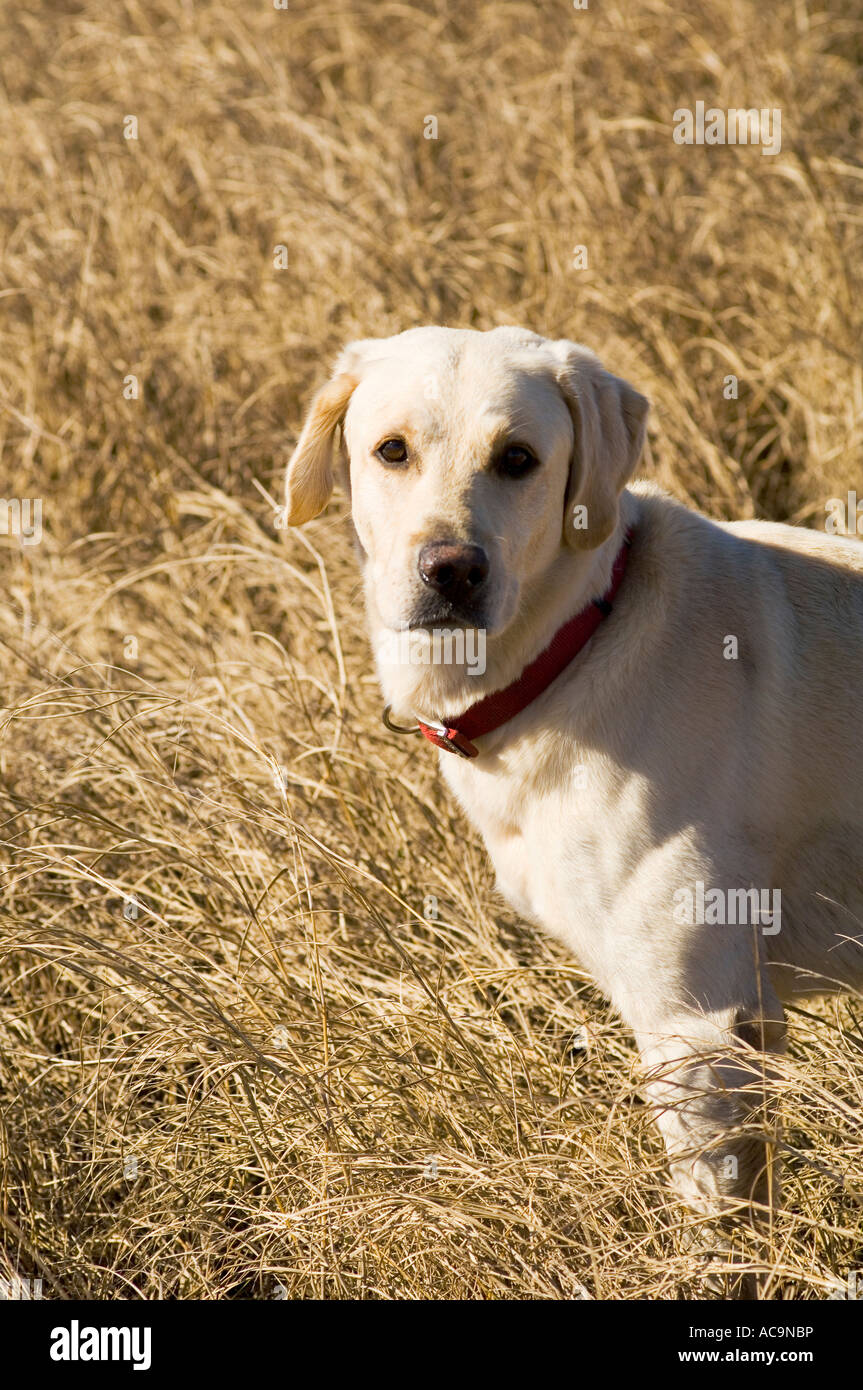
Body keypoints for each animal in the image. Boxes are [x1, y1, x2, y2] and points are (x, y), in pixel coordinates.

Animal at [284, 330, 861, 1234]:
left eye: (517, 459)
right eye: (391, 451)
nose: (451, 571)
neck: (578, 639)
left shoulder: (692, 1024)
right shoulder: (746, 1022)